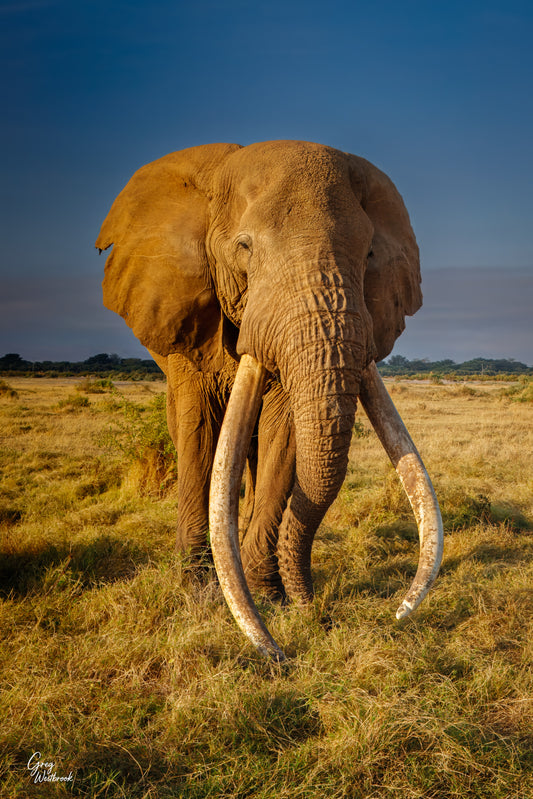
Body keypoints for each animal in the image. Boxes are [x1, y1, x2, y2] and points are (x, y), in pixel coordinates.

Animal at [97, 140, 443, 660]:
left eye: (368, 254)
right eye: (245, 248)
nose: (317, 614)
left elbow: (284, 437)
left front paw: (268, 596)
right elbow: (200, 430)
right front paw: (198, 591)